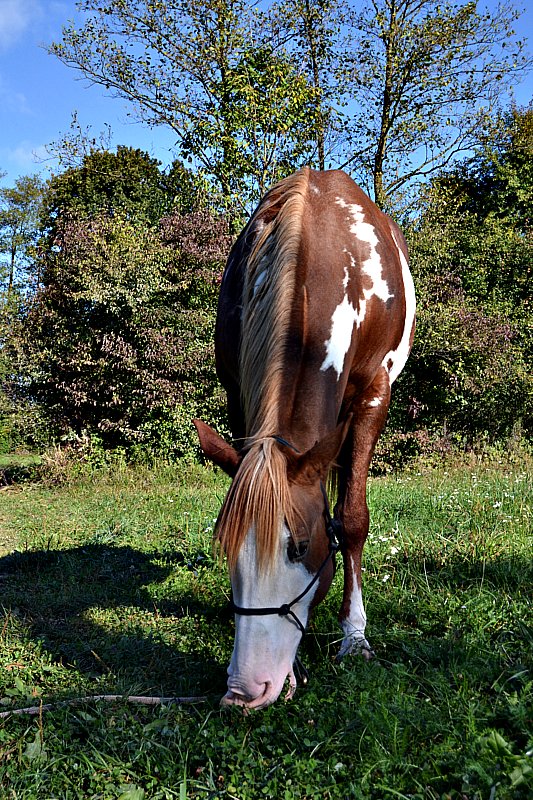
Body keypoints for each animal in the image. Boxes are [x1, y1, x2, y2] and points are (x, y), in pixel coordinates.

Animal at [194, 166, 416, 708]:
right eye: (227, 548)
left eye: (299, 547)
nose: (244, 690)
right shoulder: (239, 393)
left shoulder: (374, 393)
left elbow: (352, 519)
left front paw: (354, 635)